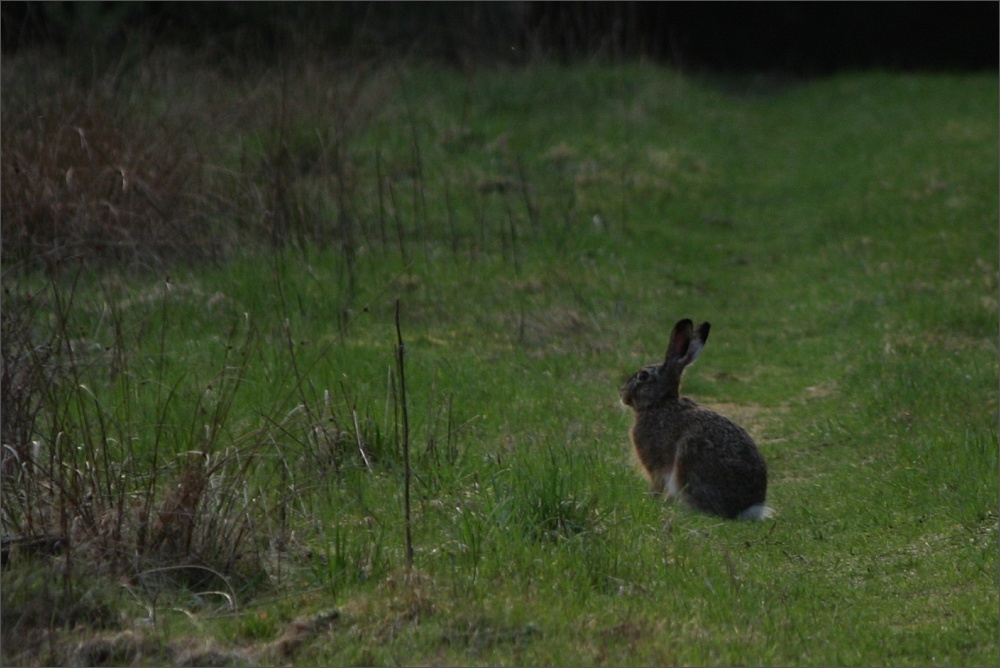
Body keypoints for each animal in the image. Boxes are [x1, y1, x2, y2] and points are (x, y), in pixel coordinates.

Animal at [616, 318, 772, 520]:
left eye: (643, 376)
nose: (622, 394)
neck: (660, 403)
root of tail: (746, 508)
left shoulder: (655, 463)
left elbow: (657, 486)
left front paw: (650, 501)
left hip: (689, 457)